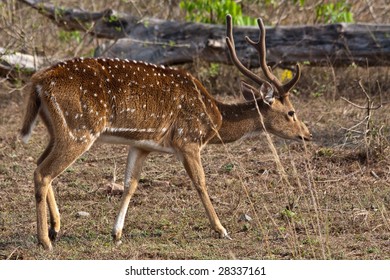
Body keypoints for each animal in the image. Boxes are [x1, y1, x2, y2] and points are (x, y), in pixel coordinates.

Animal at [20, 15, 310, 249]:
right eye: (291, 112)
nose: (306, 134)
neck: (214, 120)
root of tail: (38, 82)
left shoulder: (142, 144)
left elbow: (130, 185)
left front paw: (116, 234)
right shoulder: (187, 140)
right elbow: (201, 183)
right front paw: (222, 229)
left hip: (57, 131)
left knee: (39, 163)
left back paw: (56, 228)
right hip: (79, 130)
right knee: (43, 172)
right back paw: (45, 240)